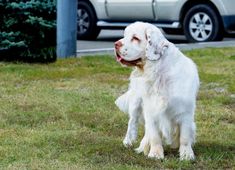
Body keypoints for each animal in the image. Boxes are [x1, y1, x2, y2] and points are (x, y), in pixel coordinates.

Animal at [114, 21, 199, 160]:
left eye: (135, 38)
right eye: (125, 35)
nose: (116, 44)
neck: (158, 72)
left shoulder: (185, 111)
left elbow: (185, 137)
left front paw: (186, 155)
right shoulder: (151, 109)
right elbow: (154, 136)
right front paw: (155, 154)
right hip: (136, 102)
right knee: (132, 121)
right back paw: (129, 141)